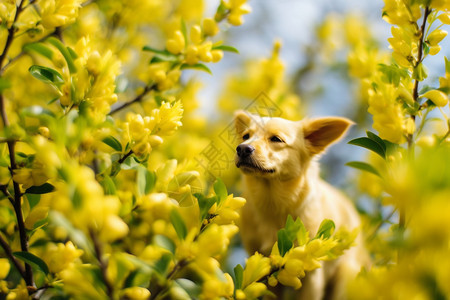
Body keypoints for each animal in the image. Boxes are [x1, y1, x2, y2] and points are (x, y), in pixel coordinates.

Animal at [234, 110, 368, 300]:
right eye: (246, 136)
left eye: (276, 139)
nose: (242, 148)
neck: (273, 203)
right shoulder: (261, 262)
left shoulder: (311, 274)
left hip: (344, 277)